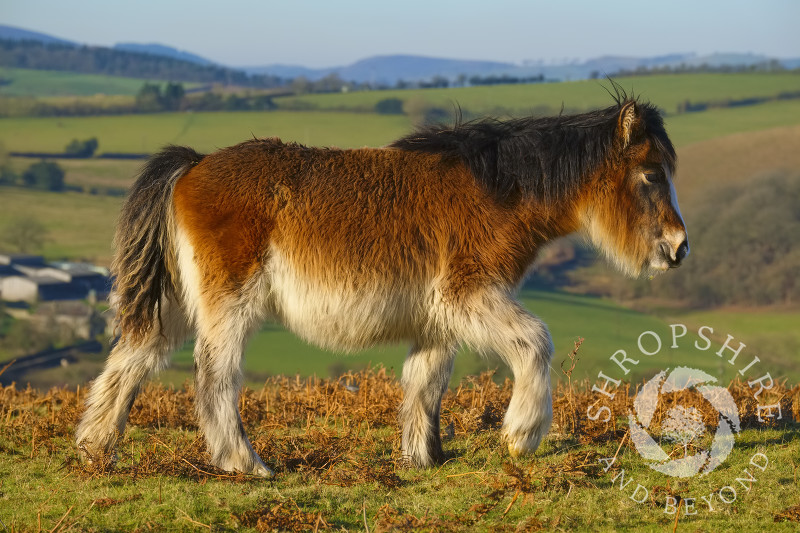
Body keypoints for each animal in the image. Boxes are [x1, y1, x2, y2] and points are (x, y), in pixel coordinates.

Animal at [76, 97, 688, 476]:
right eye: (650, 175)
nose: (679, 248)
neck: (499, 191)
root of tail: (194, 165)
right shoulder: (469, 295)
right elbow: (536, 342)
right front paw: (522, 435)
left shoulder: (438, 318)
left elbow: (424, 385)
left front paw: (423, 460)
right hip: (229, 304)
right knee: (214, 376)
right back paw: (245, 464)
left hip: (178, 304)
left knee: (132, 360)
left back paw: (95, 449)